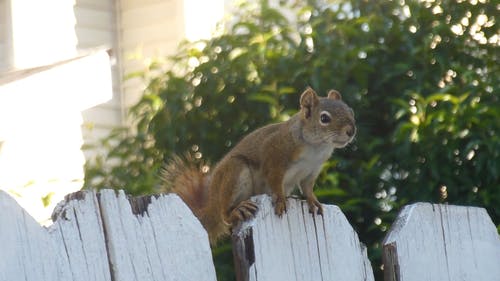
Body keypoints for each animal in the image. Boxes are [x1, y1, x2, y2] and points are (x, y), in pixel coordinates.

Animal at [160, 87, 356, 243]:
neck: (316, 147)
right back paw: (234, 210)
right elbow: (275, 180)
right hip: (235, 171)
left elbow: (307, 188)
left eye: (351, 111)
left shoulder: (311, 170)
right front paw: (280, 200)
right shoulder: (275, 155)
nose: (351, 131)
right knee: (225, 215)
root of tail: (213, 202)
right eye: (324, 118)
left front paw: (313, 201)